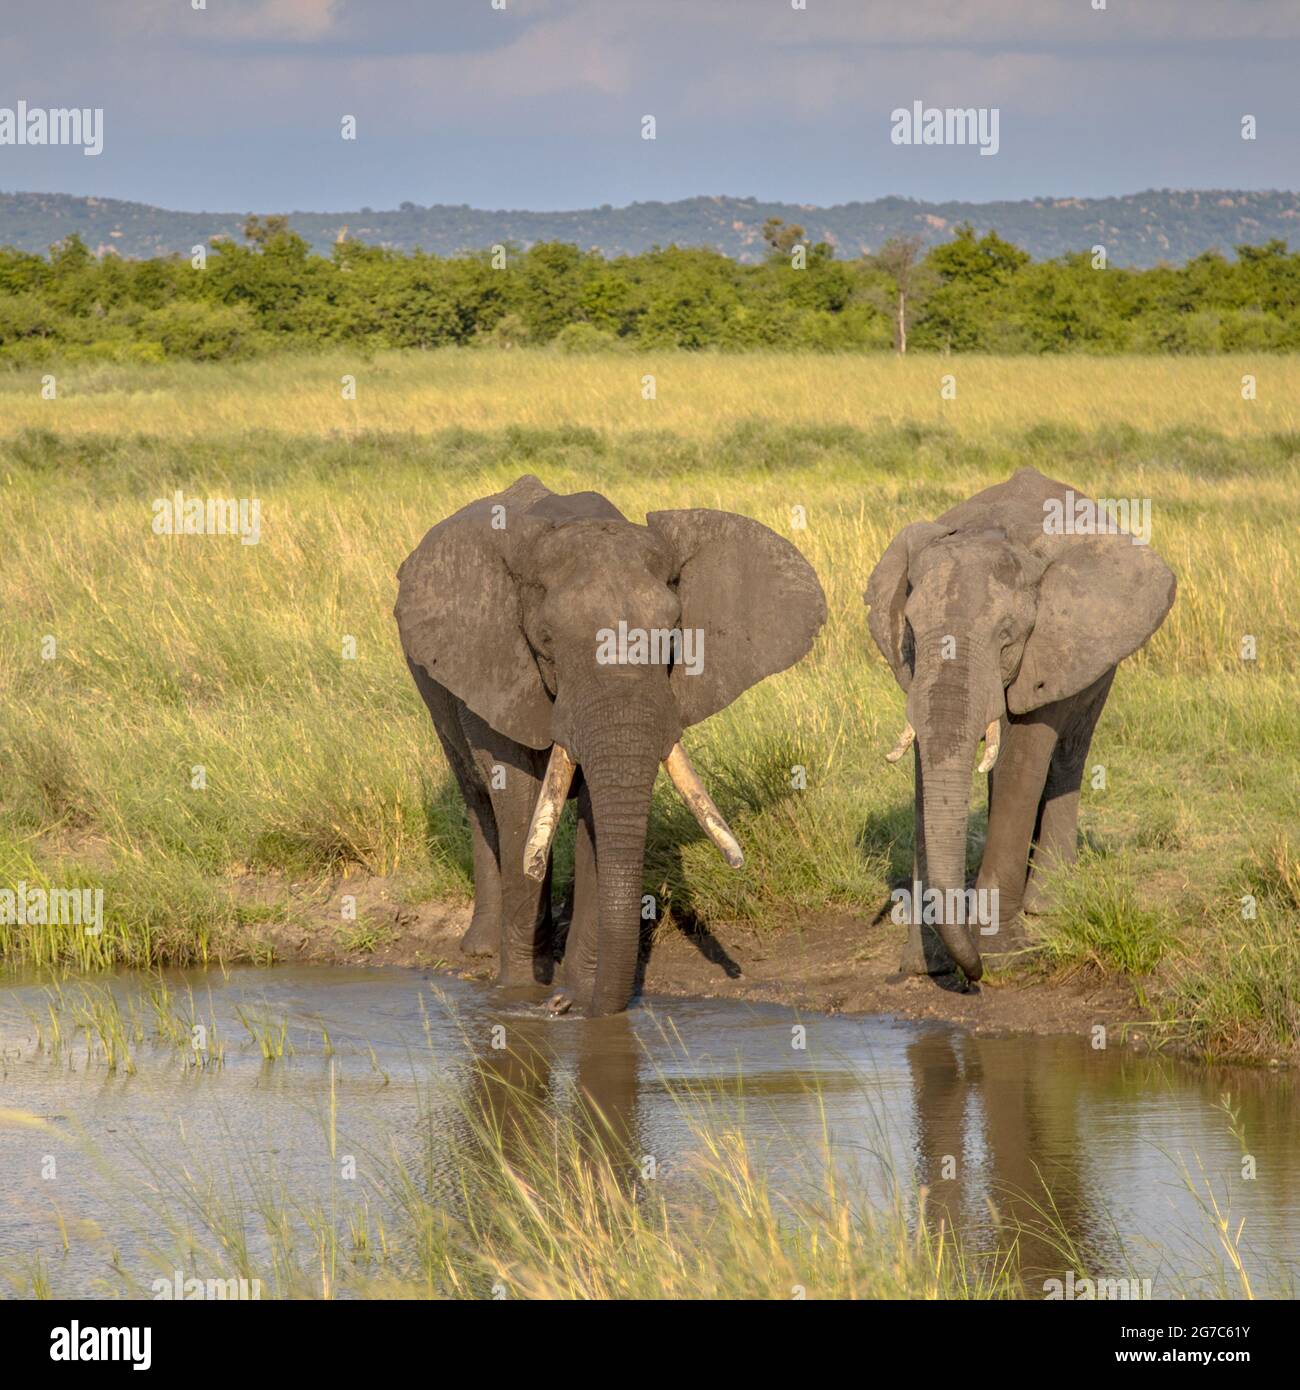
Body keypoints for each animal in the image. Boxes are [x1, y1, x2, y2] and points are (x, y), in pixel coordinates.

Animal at [392, 480, 828, 1023]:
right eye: (547, 640)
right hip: (431, 681)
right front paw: (520, 996)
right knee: (476, 794)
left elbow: (600, 811)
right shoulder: (495, 664)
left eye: (673, 635)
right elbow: (519, 795)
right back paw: (481, 950)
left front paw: (575, 999)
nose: (569, 1005)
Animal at [862, 472, 1179, 984]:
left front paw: (999, 955)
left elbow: (1024, 758)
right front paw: (923, 966)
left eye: (1007, 637)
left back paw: (1049, 902)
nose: (971, 975)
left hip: (1100, 655)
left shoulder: (1050, 646)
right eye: (909, 630)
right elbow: (928, 770)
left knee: (1069, 754)